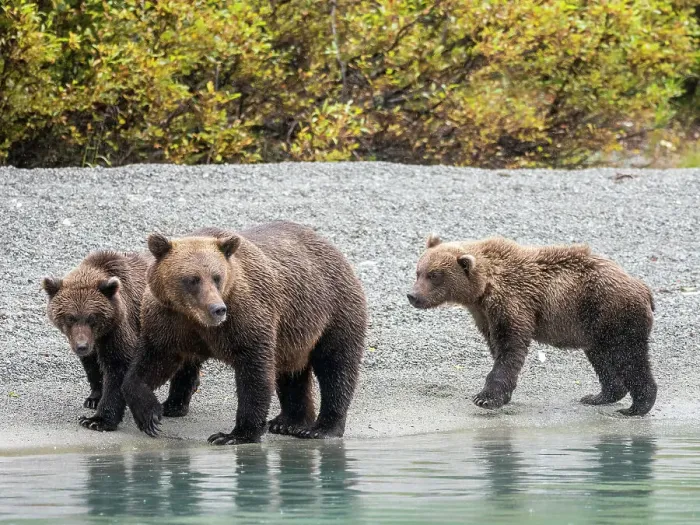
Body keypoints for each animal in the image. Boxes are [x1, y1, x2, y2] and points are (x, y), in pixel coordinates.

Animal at [121, 221, 368, 444]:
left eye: (217, 277)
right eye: (192, 279)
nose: (217, 309)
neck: (195, 319)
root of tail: (333, 248)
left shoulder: (245, 317)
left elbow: (254, 371)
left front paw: (234, 434)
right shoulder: (168, 321)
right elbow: (152, 363)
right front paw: (150, 415)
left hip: (333, 310)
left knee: (336, 366)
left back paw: (321, 428)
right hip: (294, 334)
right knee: (292, 373)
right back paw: (288, 422)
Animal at [407, 235, 657, 416]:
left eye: (434, 275)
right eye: (418, 271)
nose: (412, 295)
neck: (483, 289)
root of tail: (643, 287)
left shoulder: (513, 303)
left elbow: (509, 348)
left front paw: (485, 397)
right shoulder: (484, 314)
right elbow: (496, 346)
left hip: (613, 314)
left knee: (629, 357)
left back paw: (637, 406)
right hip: (594, 327)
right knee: (602, 358)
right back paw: (599, 396)